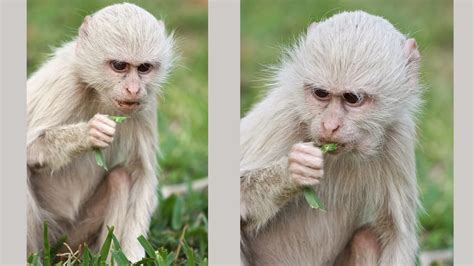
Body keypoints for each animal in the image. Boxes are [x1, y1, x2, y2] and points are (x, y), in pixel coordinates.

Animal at [26, 3, 174, 260]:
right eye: (119, 66)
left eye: (144, 68)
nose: (133, 89)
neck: (96, 89)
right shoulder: (64, 83)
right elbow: (28, 149)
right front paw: (88, 134)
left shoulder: (145, 103)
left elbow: (141, 173)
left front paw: (134, 257)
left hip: (73, 238)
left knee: (120, 178)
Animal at [241, 10, 422, 266]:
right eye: (321, 93)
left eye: (352, 98)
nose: (329, 126)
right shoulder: (285, 113)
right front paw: (293, 171)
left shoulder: (398, 135)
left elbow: (397, 236)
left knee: (366, 239)